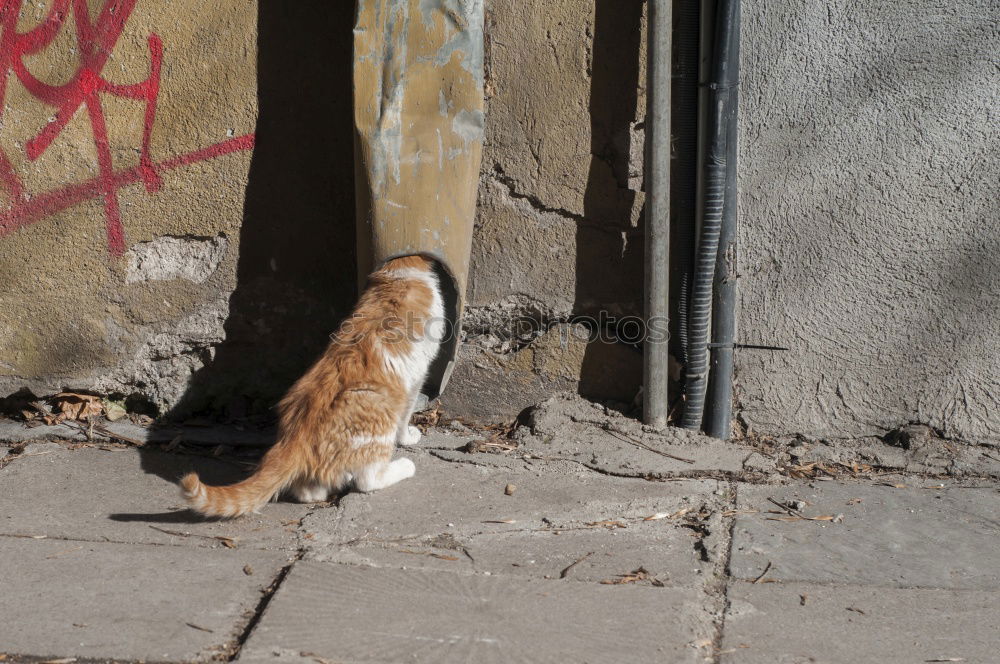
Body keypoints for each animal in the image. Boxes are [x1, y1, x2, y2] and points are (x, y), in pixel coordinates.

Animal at [181, 254, 446, 520]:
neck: (396, 278)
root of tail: (294, 436)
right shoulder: (418, 376)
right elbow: (407, 414)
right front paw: (408, 437)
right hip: (378, 411)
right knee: (367, 481)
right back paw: (403, 467)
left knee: (308, 490)